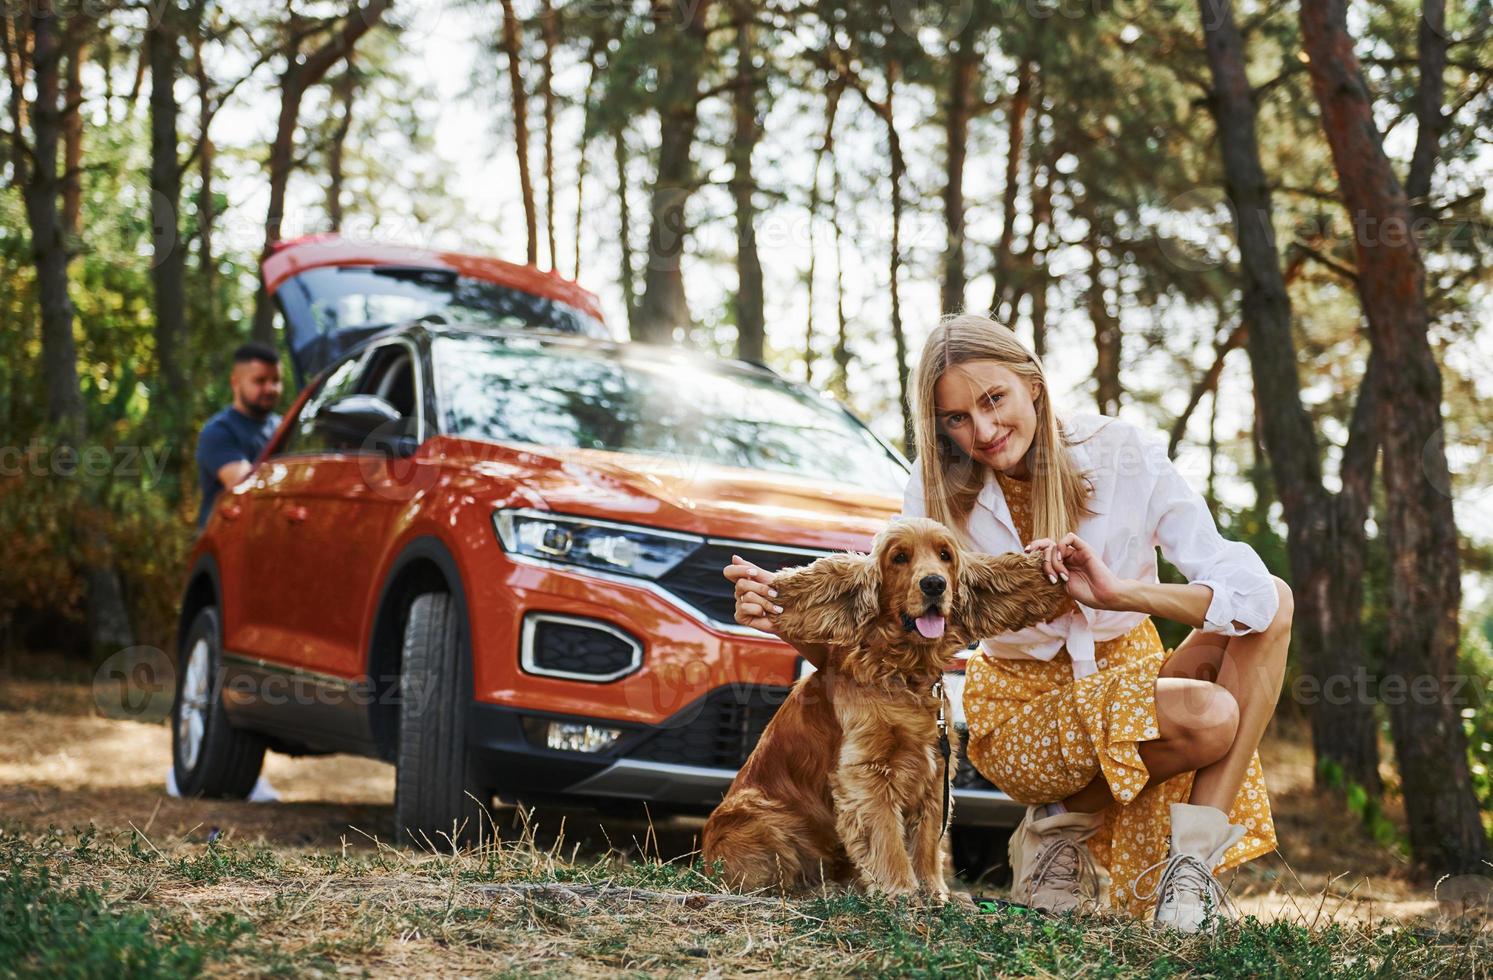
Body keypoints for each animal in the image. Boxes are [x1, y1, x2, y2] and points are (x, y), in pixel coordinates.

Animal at [701, 516, 1074, 902]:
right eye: (899, 558)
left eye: (945, 555)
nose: (934, 584)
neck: (903, 673)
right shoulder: (867, 772)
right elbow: (887, 838)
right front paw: (902, 892)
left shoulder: (935, 769)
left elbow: (926, 843)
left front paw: (935, 893)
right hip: (759, 815)